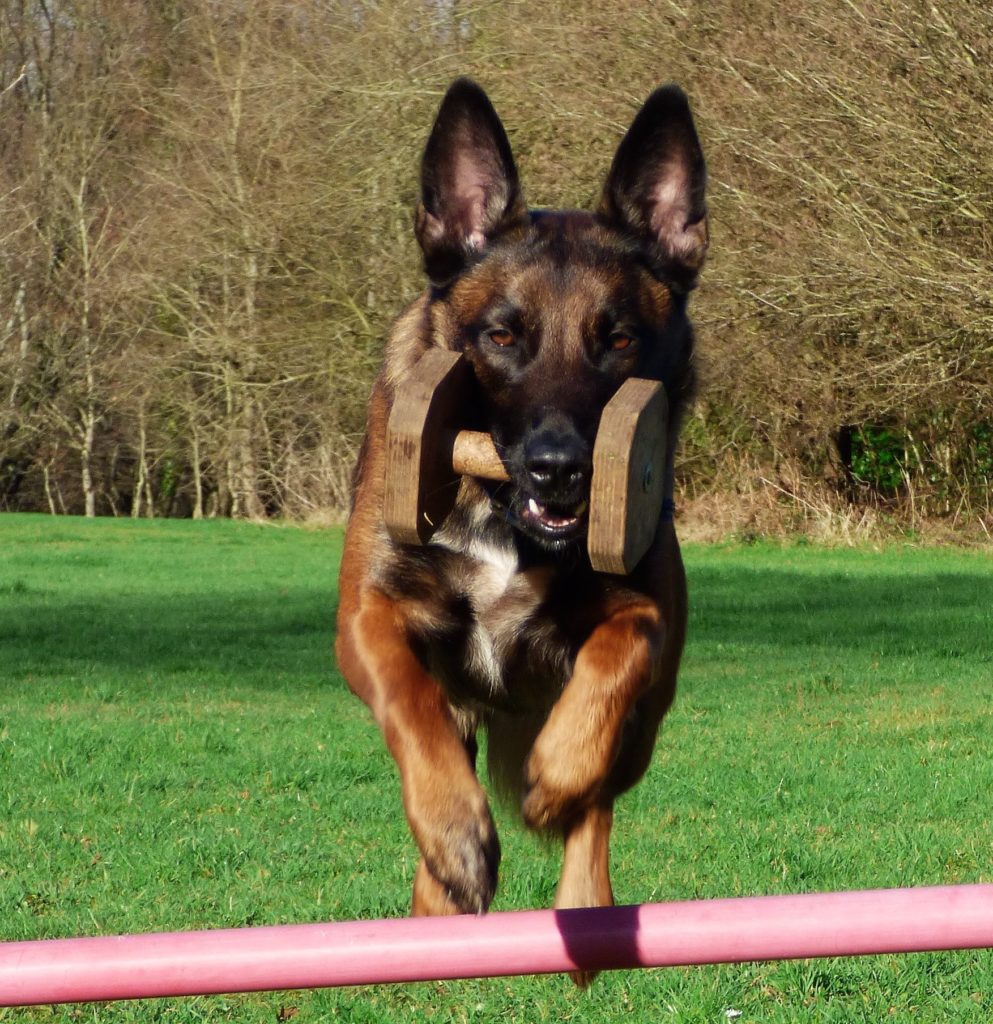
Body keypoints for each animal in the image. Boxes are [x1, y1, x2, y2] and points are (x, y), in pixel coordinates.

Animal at [335, 79, 704, 950]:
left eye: (618, 340)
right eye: (502, 336)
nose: (560, 468)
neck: (504, 517)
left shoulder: (645, 612)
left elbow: (612, 661)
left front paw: (556, 773)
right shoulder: (365, 615)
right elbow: (409, 699)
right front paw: (454, 835)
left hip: (646, 724)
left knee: (600, 805)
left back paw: (584, 900)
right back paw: (439, 892)